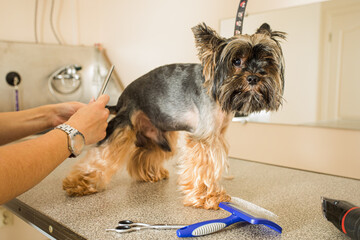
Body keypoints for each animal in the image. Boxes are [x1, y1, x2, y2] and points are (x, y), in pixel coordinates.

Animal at [62, 23, 286, 210]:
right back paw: (79, 184)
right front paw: (208, 198)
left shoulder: (217, 135)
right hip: (124, 125)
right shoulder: (204, 138)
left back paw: (150, 174)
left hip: (157, 134)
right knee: (102, 154)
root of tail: (121, 99)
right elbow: (204, 167)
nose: (254, 77)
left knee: (144, 153)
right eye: (236, 61)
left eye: (266, 61)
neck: (217, 89)